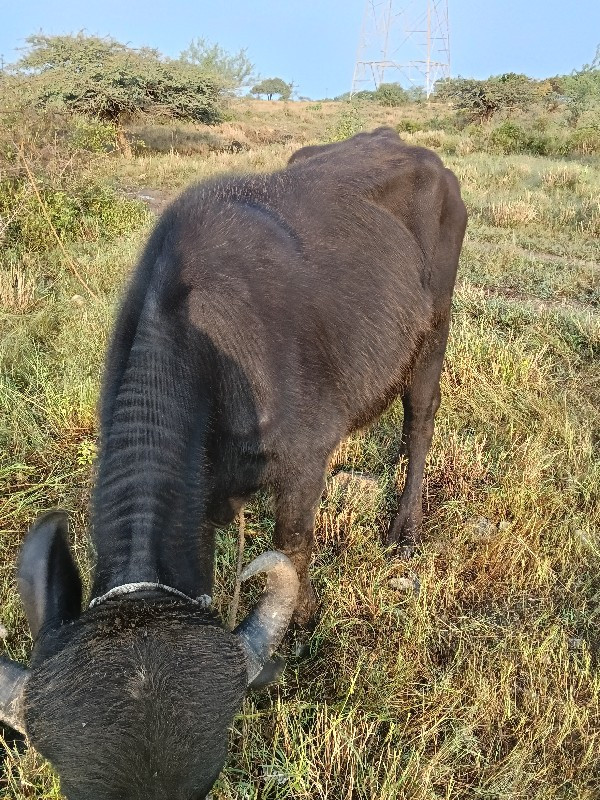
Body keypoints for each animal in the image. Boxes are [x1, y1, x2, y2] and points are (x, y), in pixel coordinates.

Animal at [0, 128, 466, 796]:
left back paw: (405, 526)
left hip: (434, 331)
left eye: (205, 781)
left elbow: (294, 543)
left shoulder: (301, 464)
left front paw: (303, 617)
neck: (205, 352)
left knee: (420, 421)